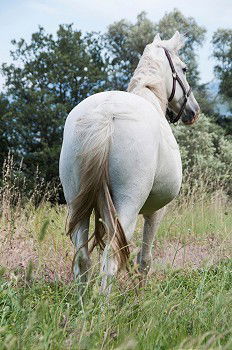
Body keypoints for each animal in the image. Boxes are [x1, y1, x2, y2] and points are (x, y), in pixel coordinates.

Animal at [59, 32, 199, 292]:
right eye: (184, 69)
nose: (193, 111)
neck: (149, 93)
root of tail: (106, 115)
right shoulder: (156, 211)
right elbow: (145, 259)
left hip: (77, 205)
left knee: (83, 258)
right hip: (128, 206)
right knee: (111, 259)